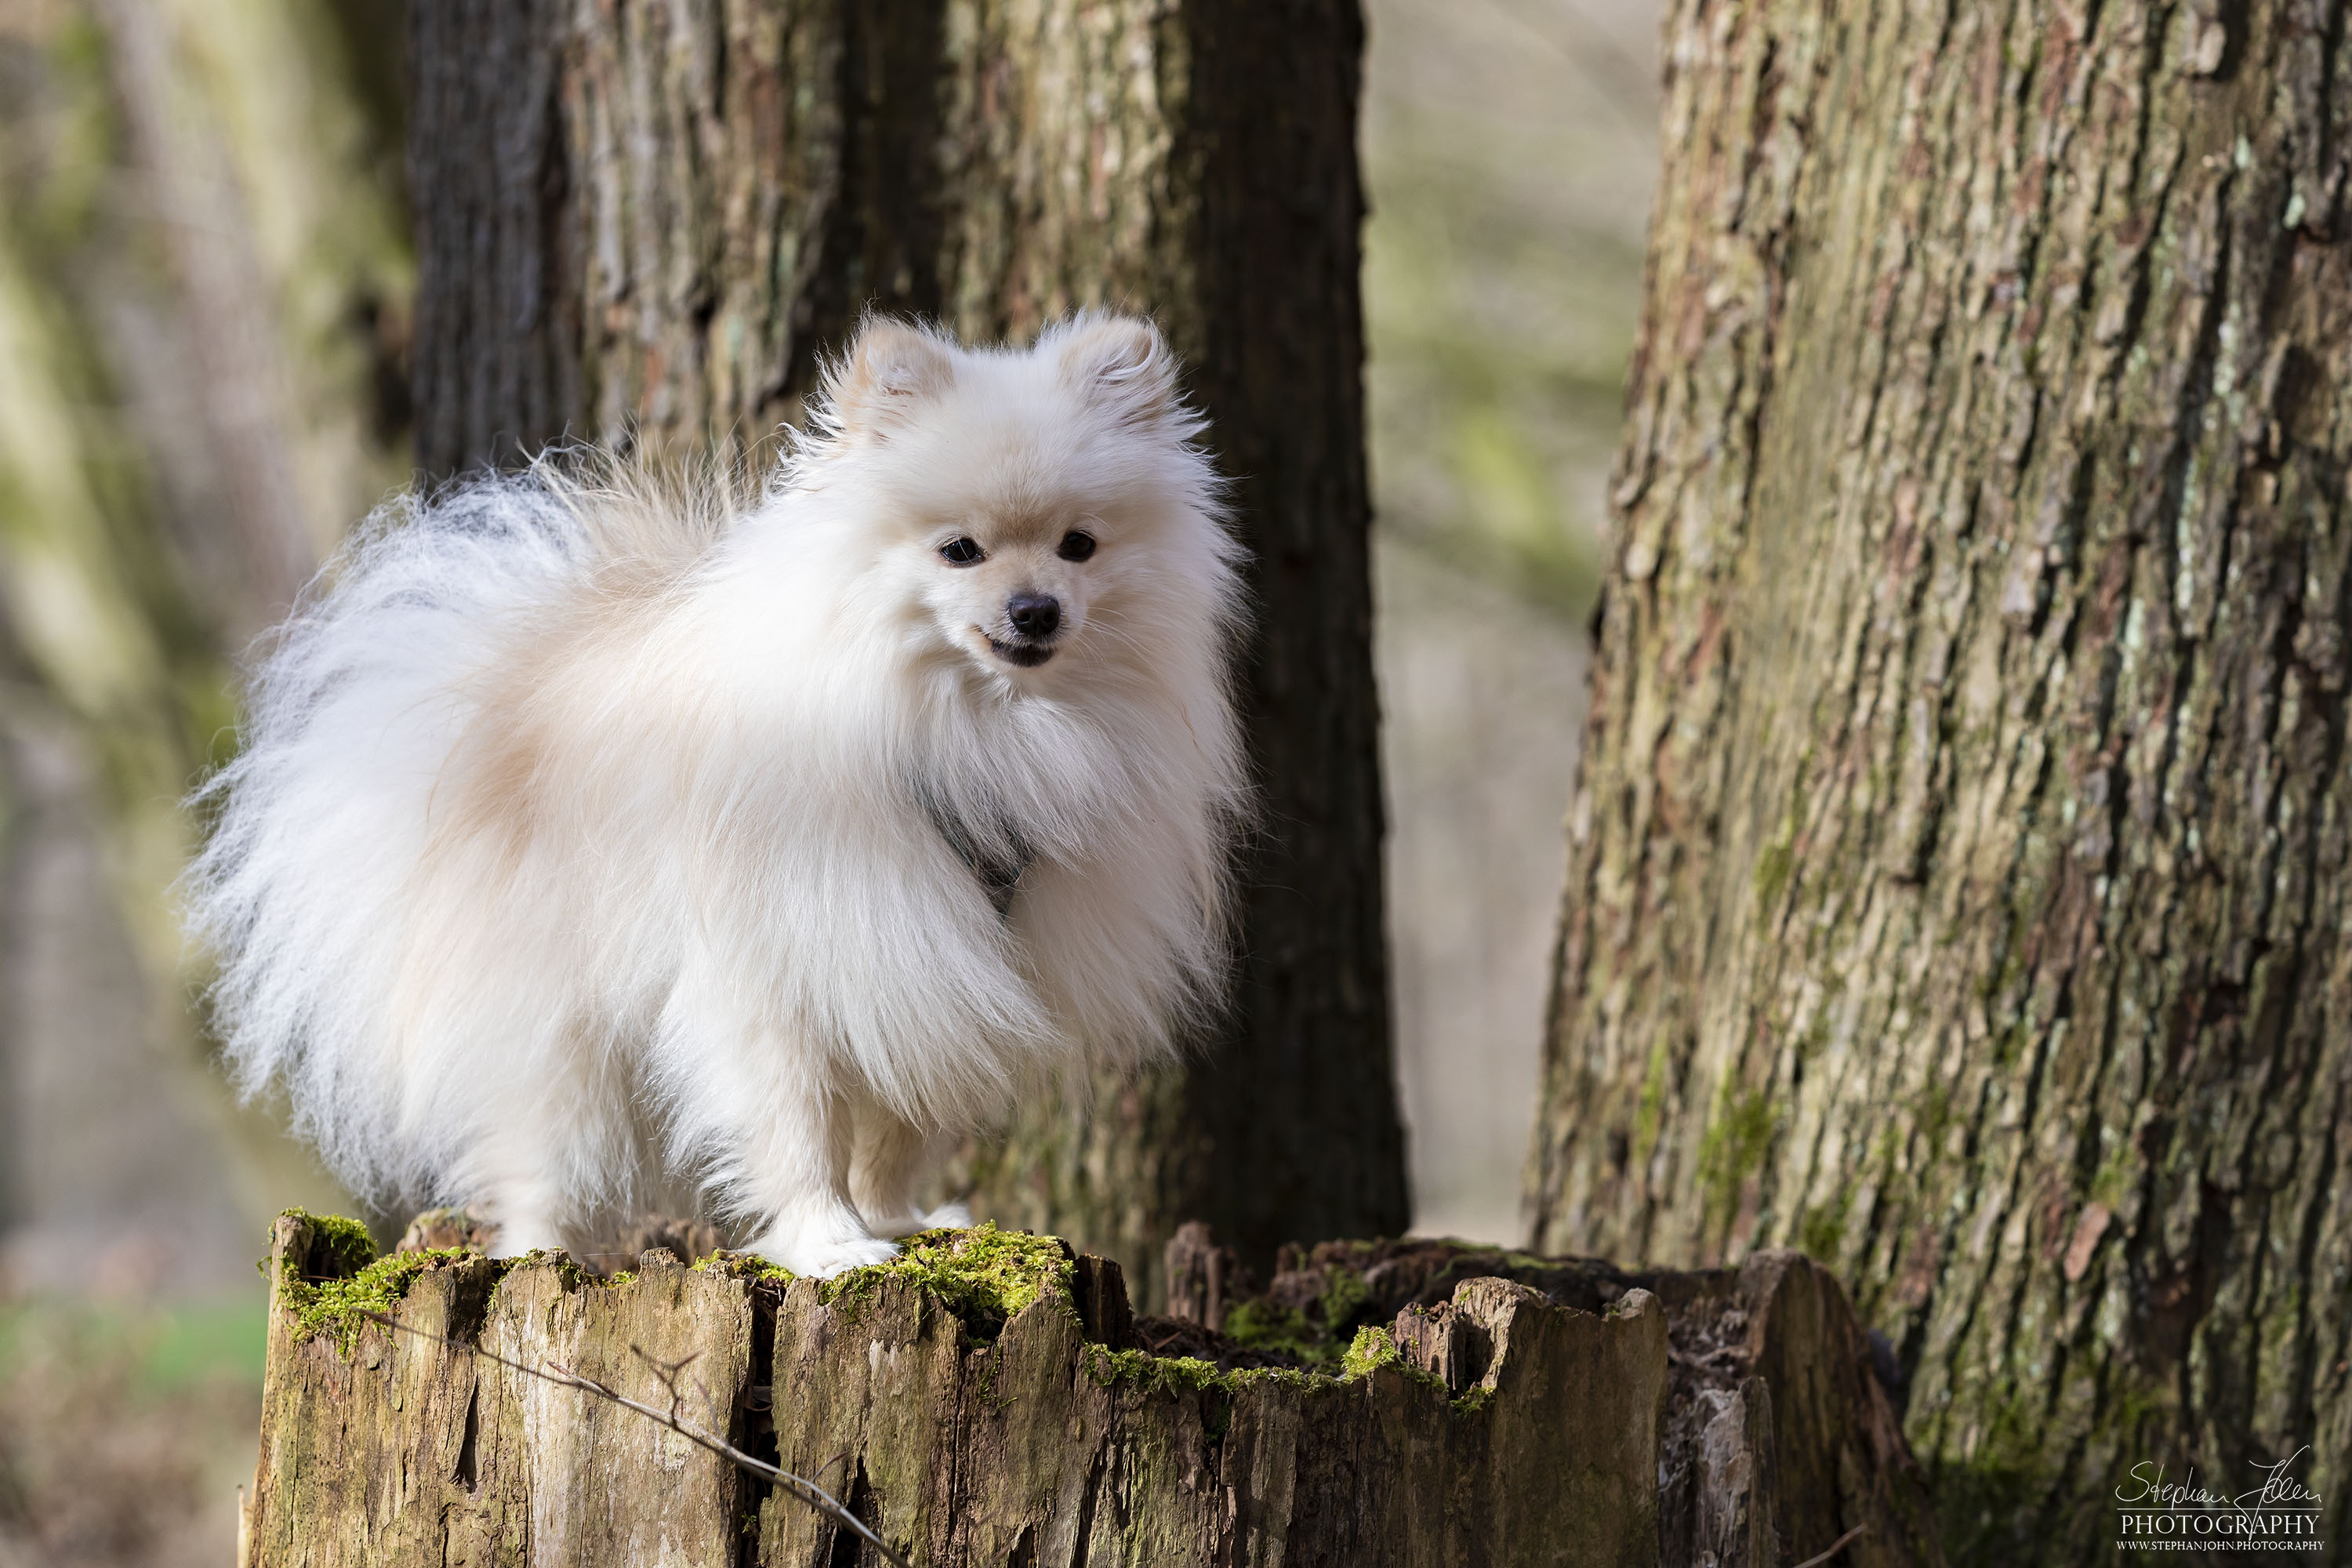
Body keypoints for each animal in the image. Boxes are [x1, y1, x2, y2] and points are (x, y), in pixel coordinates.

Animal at [188, 314, 1251, 1279]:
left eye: (1079, 545)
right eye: (960, 550)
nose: (1035, 610)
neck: (967, 726)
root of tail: (502, 687)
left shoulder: (939, 958)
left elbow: (897, 1122)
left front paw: (897, 1221)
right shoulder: (782, 966)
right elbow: (796, 1126)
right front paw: (832, 1244)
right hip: (560, 1029)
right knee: (540, 1155)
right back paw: (540, 1257)